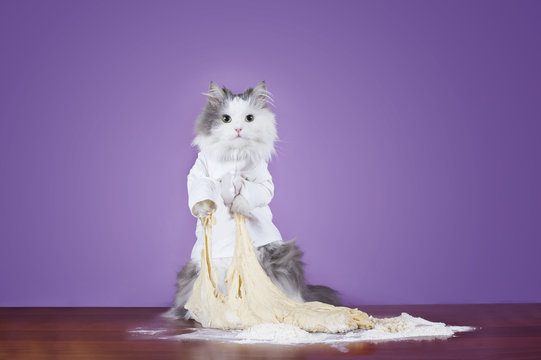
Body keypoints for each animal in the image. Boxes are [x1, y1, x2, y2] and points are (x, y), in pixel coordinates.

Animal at [166, 81, 342, 318]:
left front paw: (238, 204)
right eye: (226, 119)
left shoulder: (262, 180)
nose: (238, 129)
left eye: (249, 118)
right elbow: (200, 191)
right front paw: (205, 211)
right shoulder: (199, 173)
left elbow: (251, 193)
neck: (234, 158)